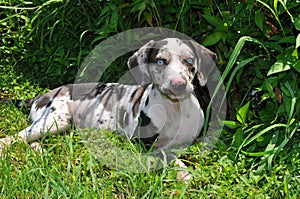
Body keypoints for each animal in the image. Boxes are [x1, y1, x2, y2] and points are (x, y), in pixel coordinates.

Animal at [0, 37, 216, 182]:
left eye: (190, 61)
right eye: (160, 61)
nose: (178, 84)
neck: (175, 108)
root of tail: (41, 96)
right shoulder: (141, 143)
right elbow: (167, 154)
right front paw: (184, 172)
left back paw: (37, 149)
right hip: (56, 119)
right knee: (15, 137)